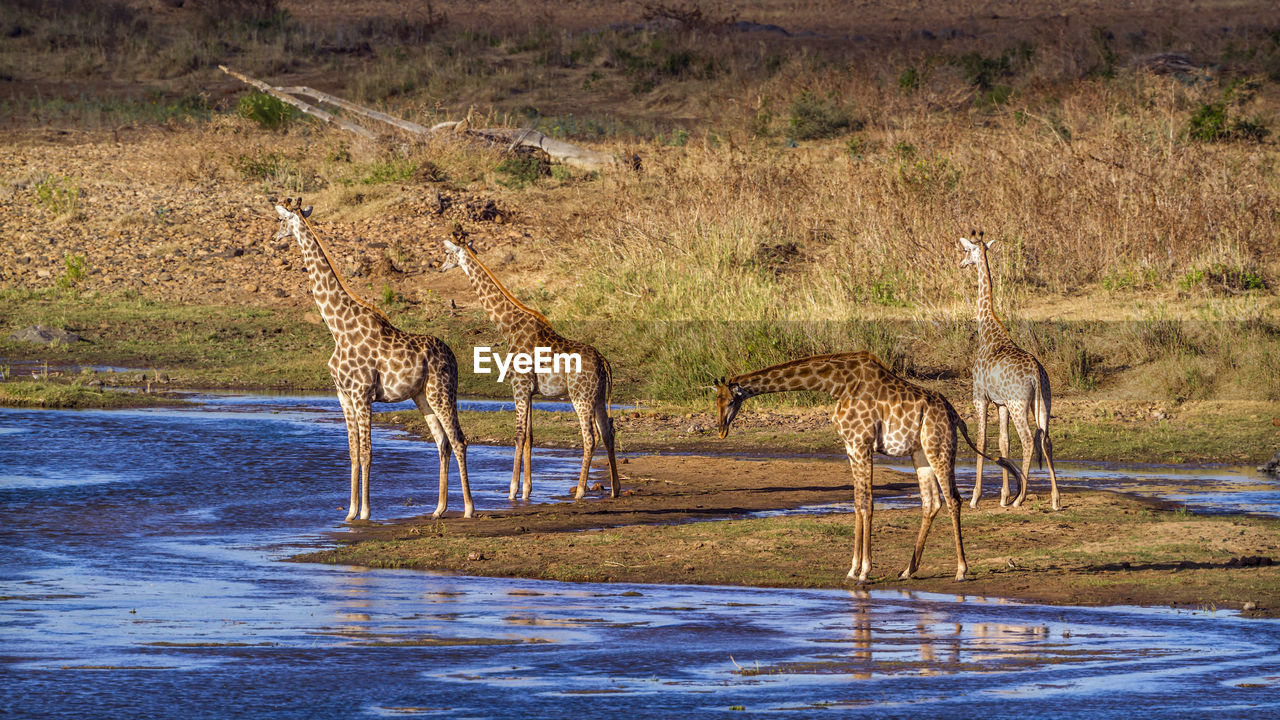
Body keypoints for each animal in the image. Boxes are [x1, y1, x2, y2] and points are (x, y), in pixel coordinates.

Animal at [271, 198, 476, 517]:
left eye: (282, 220)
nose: (273, 237)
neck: (338, 328)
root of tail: (453, 357)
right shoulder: (343, 396)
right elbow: (353, 453)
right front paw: (350, 512)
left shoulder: (362, 394)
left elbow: (367, 453)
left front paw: (366, 512)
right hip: (422, 395)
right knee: (442, 442)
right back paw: (439, 509)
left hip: (442, 392)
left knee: (459, 440)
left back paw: (468, 509)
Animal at [440, 235, 619, 499]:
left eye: (447, 254)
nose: (440, 267)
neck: (508, 326)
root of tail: (603, 361)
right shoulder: (530, 391)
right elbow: (529, 437)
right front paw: (526, 491)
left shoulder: (519, 386)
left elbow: (518, 435)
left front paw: (512, 491)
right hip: (597, 396)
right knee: (608, 432)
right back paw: (616, 488)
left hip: (580, 396)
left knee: (590, 438)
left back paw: (579, 492)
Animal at [716, 351, 1024, 584]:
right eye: (715, 400)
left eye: (731, 400)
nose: (720, 430)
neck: (837, 385)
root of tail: (954, 414)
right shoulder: (851, 449)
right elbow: (857, 502)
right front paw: (853, 569)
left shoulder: (861, 445)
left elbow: (868, 503)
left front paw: (864, 570)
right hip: (920, 454)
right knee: (931, 502)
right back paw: (908, 570)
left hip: (939, 449)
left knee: (953, 500)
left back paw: (961, 570)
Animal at [962, 233, 1059, 507]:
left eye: (967, 251)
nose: (961, 264)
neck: (987, 332)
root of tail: (1036, 372)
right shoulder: (1001, 403)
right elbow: (1003, 442)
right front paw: (1004, 496)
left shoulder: (980, 396)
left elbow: (982, 439)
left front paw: (975, 497)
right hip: (1043, 402)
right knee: (1046, 440)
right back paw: (1055, 499)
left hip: (1019, 405)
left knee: (1028, 440)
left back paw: (1021, 498)